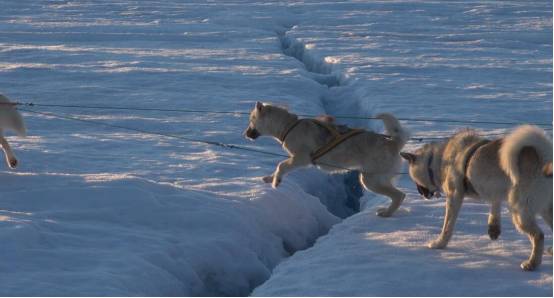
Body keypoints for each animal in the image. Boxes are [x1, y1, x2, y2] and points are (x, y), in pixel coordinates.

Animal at [244, 101, 408, 218]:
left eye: (251, 120)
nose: (245, 134)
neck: (290, 126)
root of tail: (393, 143)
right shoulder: (295, 159)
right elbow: (279, 167)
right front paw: (270, 178)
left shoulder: (301, 158)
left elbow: (281, 165)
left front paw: (276, 181)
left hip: (370, 180)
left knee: (399, 195)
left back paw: (387, 213)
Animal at [398, 125, 548, 270]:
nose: (420, 193)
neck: (438, 160)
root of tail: (544, 159)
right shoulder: (496, 190)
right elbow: (495, 205)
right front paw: (493, 228)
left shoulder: (454, 196)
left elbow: (447, 226)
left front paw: (439, 243)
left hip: (519, 212)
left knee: (539, 236)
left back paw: (532, 263)